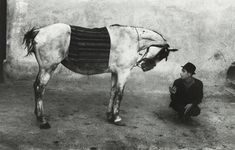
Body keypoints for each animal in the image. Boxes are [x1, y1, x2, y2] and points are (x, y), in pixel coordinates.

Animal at [23, 22, 177, 128]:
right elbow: (120, 94)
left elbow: (113, 92)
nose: (146, 66)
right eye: (163, 54)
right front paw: (117, 118)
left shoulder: (115, 73)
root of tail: (39, 30)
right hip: (48, 68)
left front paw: (110, 116)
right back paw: (42, 120)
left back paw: (38, 116)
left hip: (44, 68)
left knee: (36, 87)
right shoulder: (123, 72)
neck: (131, 39)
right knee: (40, 88)